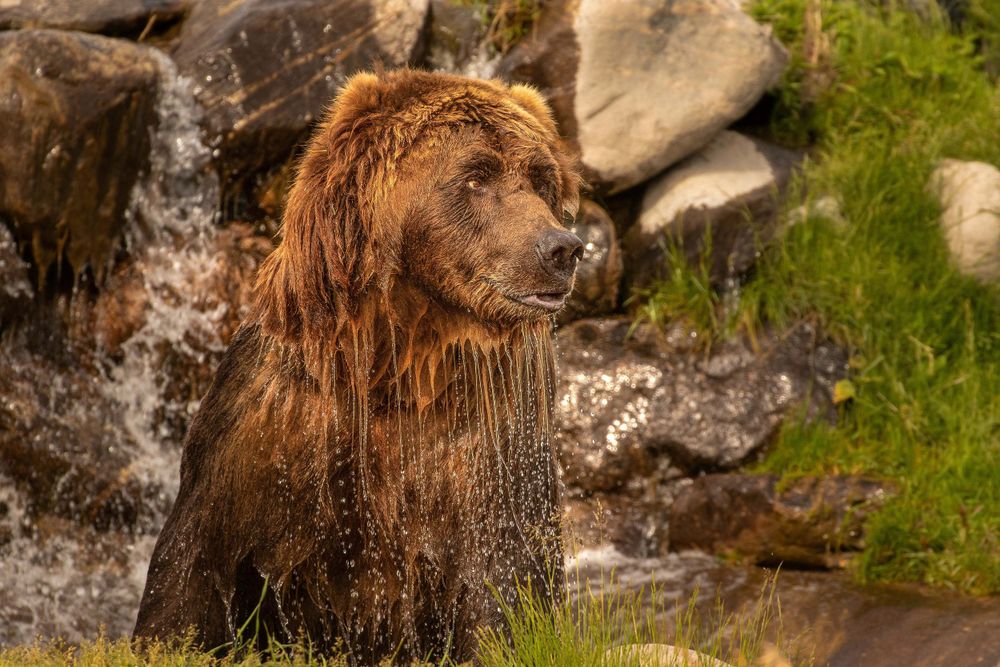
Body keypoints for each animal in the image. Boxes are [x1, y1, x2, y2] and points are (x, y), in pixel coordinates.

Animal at [133, 69, 583, 664]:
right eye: (475, 175)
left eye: (540, 177)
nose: (563, 248)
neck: (395, 371)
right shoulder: (266, 438)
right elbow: (191, 578)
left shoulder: (491, 451)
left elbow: (508, 583)